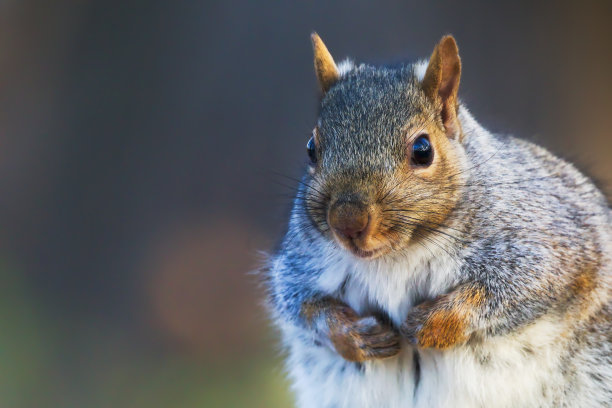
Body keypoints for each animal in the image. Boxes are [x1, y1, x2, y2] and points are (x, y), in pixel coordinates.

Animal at [266, 32, 612, 408]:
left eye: (422, 150)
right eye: (311, 148)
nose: (347, 222)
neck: (395, 257)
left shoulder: (553, 242)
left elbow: (520, 287)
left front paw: (433, 324)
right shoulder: (300, 264)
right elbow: (301, 305)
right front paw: (354, 336)